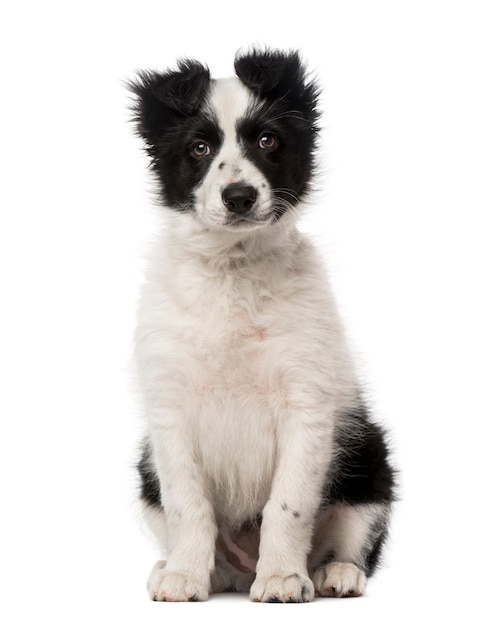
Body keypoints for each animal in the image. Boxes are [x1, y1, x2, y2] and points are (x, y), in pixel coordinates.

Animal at [129, 47, 396, 600]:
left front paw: (282, 577)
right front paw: (185, 577)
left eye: (268, 140)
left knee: (356, 534)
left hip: (370, 459)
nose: (238, 196)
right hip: (144, 471)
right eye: (200, 147)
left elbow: (287, 505)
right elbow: (187, 503)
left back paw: (337, 573)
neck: (234, 270)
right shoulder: (169, 410)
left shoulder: (308, 405)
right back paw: (190, 569)